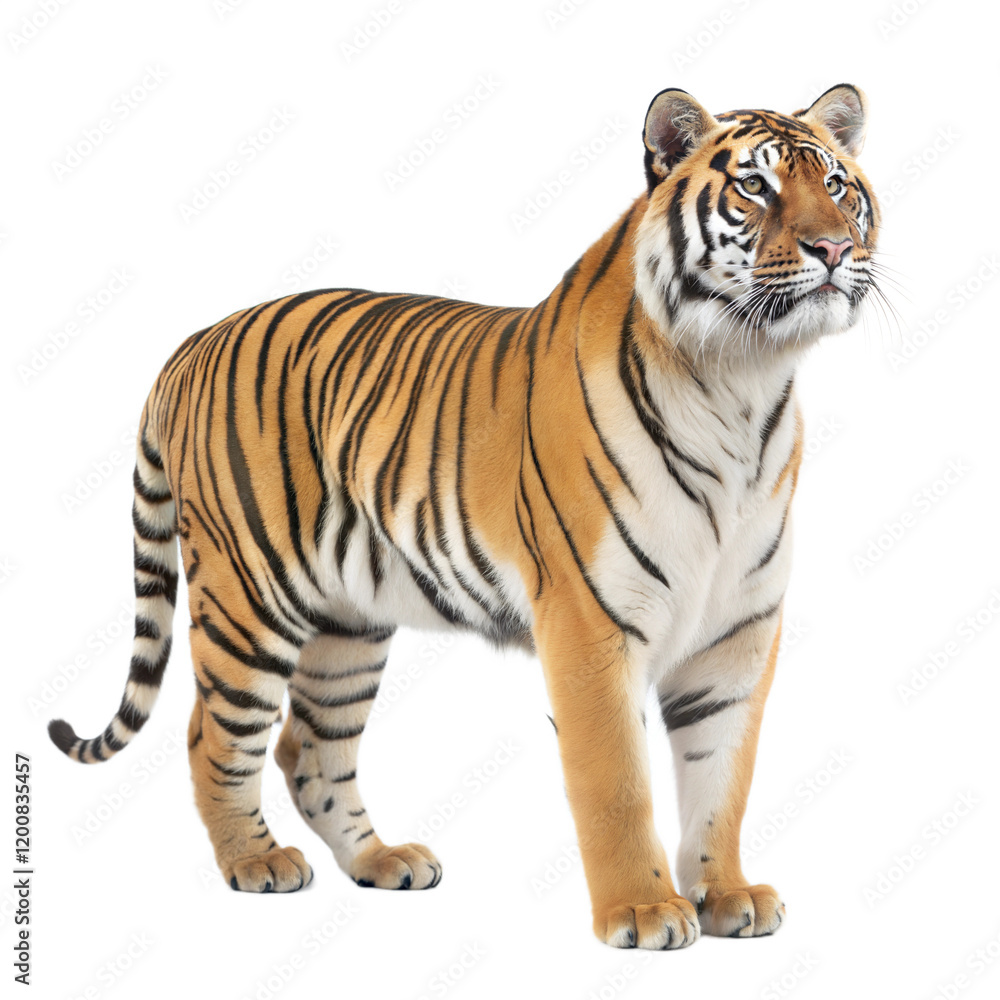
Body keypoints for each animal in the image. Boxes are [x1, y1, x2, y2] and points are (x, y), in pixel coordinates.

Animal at [49, 83, 879, 950]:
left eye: (837, 186)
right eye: (755, 187)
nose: (832, 248)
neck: (743, 383)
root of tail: (193, 339)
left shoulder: (738, 632)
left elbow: (724, 778)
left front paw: (729, 895)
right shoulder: (590, 623)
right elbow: (617, 783)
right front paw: (643, 910)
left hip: (348, 625)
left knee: (308, 747)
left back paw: (381, 861)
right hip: (248, 597)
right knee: (213, 734)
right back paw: (256, 861)